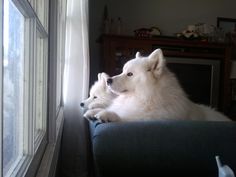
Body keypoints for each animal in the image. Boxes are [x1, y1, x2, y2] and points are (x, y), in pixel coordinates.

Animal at [94, 49, 230, 122]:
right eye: (122, 71)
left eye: (130, 74)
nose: (109, 80)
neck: (148, 96)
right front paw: (95, 111)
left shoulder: (153, 118)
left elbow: (129, 117)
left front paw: (109, 115)